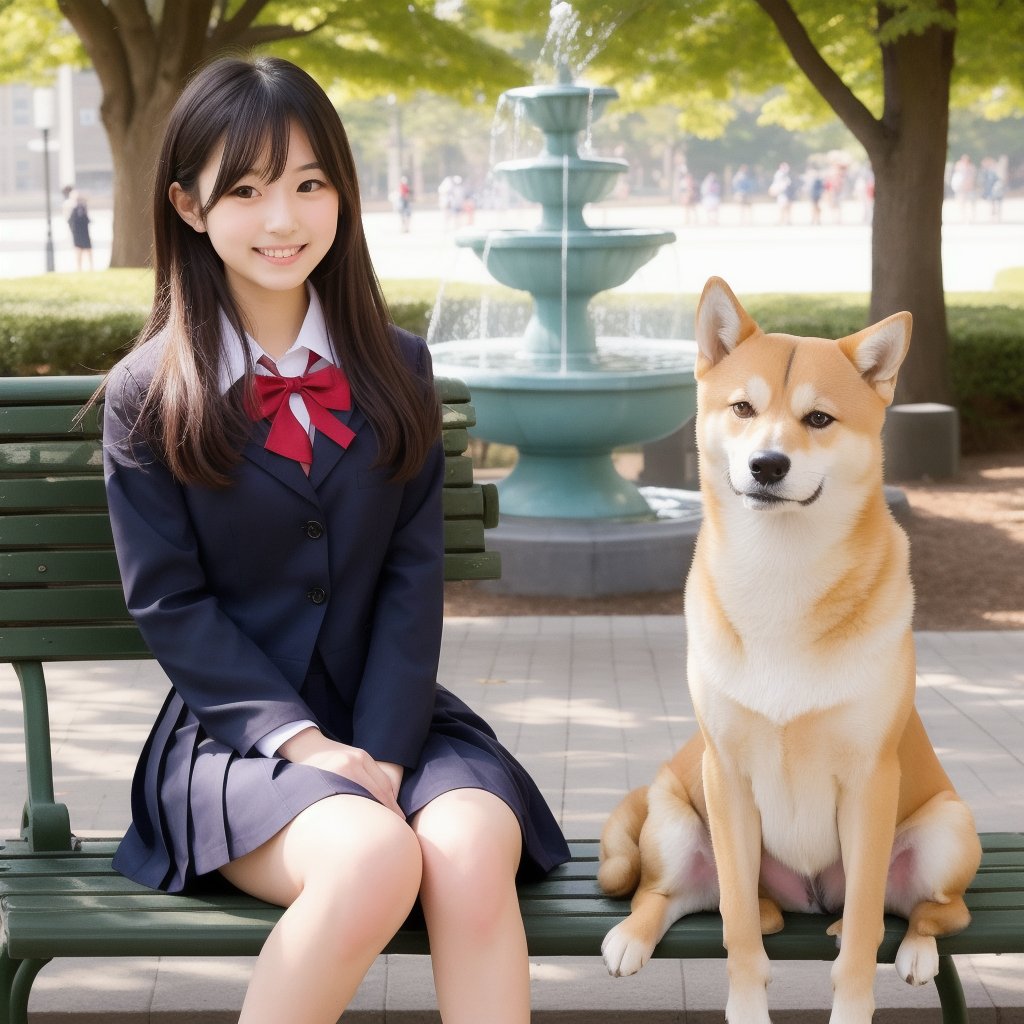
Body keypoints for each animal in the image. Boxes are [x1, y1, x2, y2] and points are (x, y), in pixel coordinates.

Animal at [598, 276, 983, 1019]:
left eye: (820, 420)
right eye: (743, 408)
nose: (767, 464)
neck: (781, 579)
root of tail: (807, 898)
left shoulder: (870, 782)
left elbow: (862, 933)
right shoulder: (725, 776)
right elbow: (739, 927)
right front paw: (746, 1004)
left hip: (947, 832)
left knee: (936, 912)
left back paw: (917, 949)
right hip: (678, 824)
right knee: (667, 894)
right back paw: (631, 936)